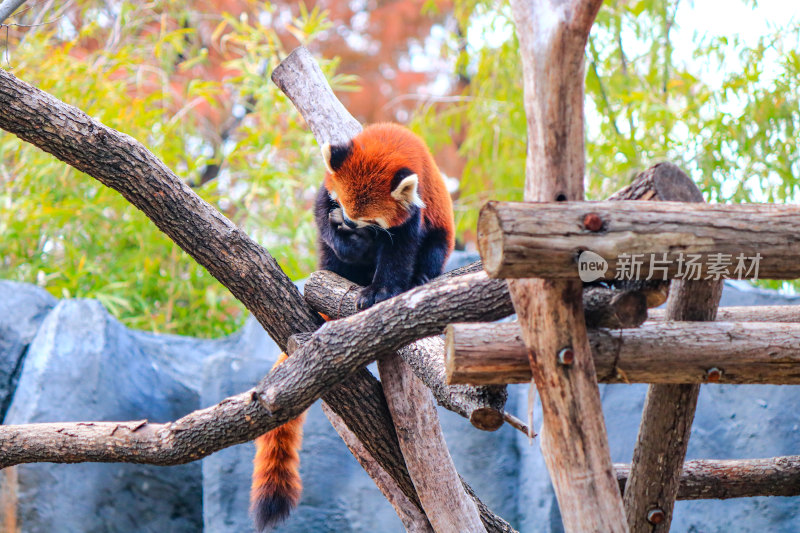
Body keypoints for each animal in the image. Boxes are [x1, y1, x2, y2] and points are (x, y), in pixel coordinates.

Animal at [250, 121, 454, 528]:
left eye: (370, 220)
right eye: (342, 207)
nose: (347, 223)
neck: (388, 145)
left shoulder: (414, 212)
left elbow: (399, 251)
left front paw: (382, 290)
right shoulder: (327, 195)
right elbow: (322, 220)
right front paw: (346, 242)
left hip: (442, 232)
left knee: (433, 248)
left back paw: (421, 278)